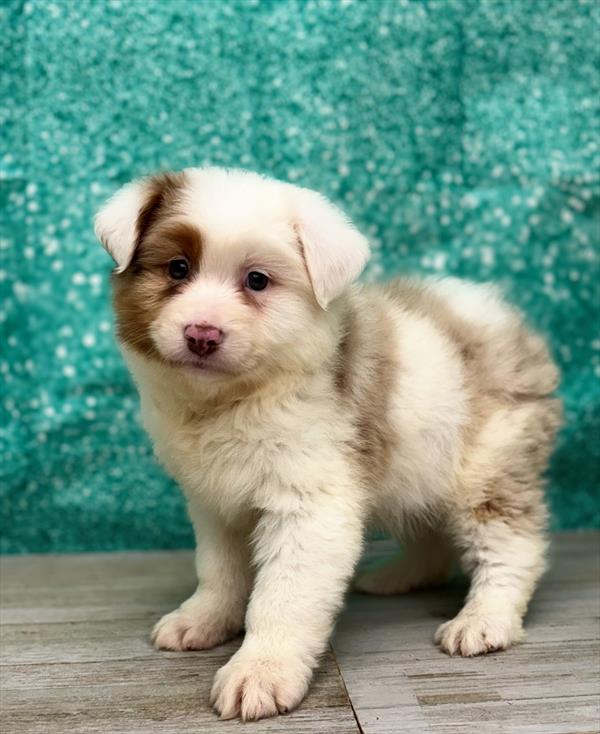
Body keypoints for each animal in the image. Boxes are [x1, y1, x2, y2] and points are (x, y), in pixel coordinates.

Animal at [95, 168, 564, 724]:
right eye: (178, 268)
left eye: (257, 281)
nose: (201, 334)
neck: (235, 400)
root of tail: (500, 317)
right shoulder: (213, 502)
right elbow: (218, 570)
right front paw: (203, 619)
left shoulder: (309, 505)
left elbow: (282, 597)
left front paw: (261, 671)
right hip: (422, 467)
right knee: (429, 532)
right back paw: (399, 577)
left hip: (487, 467)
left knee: (512, 547)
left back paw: (484, 620)